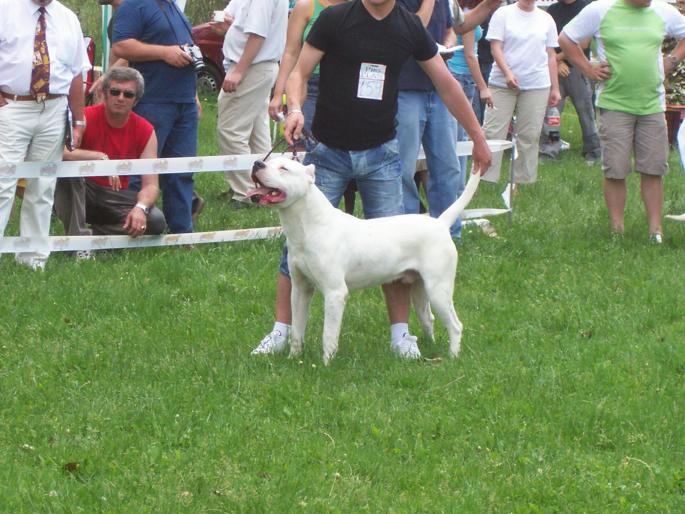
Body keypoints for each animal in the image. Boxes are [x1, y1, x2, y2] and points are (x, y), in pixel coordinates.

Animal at [247, 156, 480, 364]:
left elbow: (328, 334)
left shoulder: (335, 293)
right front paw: (294, 358)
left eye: (284, 168)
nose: (257, 163)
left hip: (438, 289)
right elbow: (297, 328)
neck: (309, 226)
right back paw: (429, 347)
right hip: (419, 288)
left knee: (455, 325)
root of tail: (440, 223)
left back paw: (452, 357)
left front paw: (326, 365)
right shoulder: (300, 289)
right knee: (428, 318)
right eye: (269, 162)